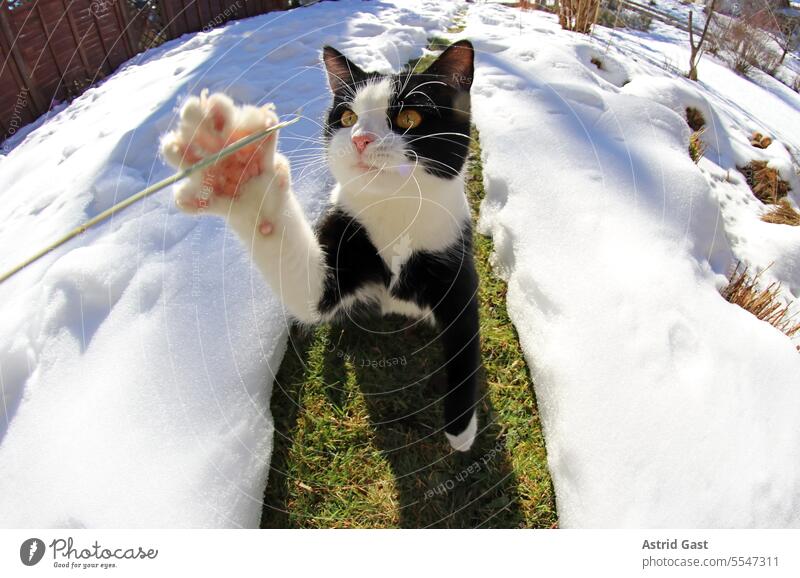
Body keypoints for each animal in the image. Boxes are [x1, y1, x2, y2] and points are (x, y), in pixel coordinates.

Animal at [159, 39, 478, 450]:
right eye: (346, 117)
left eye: (409, 118)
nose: (360, 139)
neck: (395, 206)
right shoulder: (343, 232)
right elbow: (305, 293)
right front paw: (235, 168)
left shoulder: (454, 252)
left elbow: (465, 341)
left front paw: (461, 427)